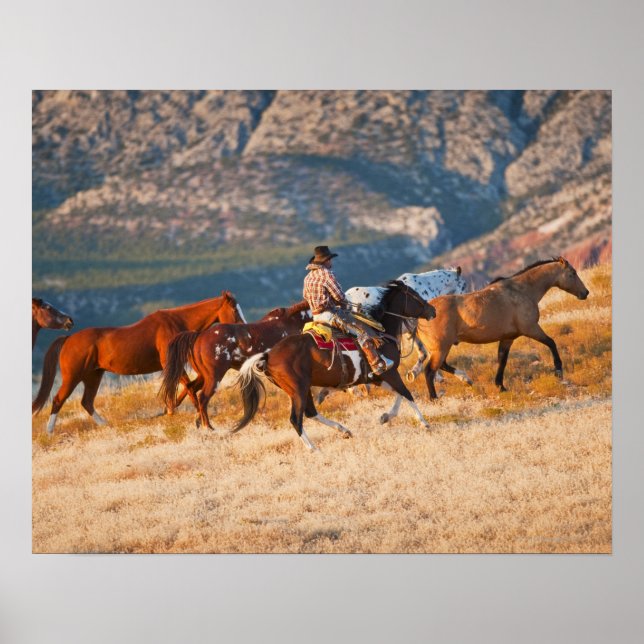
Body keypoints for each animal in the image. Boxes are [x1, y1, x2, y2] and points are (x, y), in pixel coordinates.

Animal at [32, 291, 246, 434]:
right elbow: (190, 388)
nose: (244, 329)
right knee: (58, 399)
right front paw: (197, 418)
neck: (176, 323)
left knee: (87, 402)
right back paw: (50, 432)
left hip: (93, 376)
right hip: (73, 377)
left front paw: (171, 409)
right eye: (234, 310)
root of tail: (68, 339)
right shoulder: (172, 363)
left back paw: (105, 425)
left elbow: (189, 386)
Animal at [159, 300, 312, 430]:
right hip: (214, 377)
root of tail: (198, 337)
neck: (292, 322)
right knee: (203, 398)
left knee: (191, 389)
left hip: (203, 375)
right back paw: (208, 428)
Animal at [233, 281, 436, 451]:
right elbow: (407, 394)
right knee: (296, 419)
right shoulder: (390, 372)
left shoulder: (379, 378)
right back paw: (314, 449)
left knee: (311, 413)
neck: (381, 334)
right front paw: (424, 423)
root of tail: (268, 355)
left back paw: (344, 430)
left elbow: (399, 395)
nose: (432, 309)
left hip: (300, 390)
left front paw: (385, 417)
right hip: (298, 390)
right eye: (414, 295)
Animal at [418, 257, 590, 400]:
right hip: (441, 348)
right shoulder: (531, 329)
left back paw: (466, 380)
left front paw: (500, 386)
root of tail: (423, 316)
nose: (585, 293)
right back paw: (434, 398)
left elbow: (502, 360)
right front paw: (558, 371)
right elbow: (551, 343)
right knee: (430, 371)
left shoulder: (508, 338)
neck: (522, 290)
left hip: (441, 348)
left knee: (442, 366)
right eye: (572, 273)